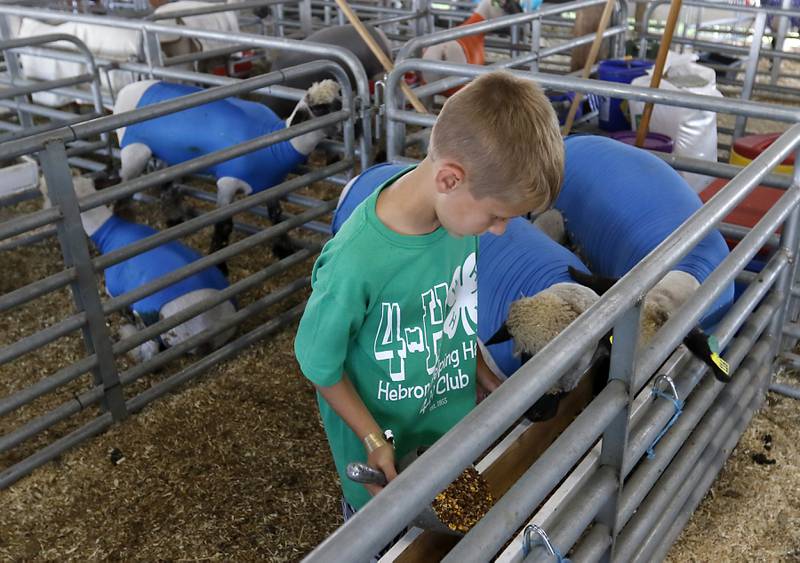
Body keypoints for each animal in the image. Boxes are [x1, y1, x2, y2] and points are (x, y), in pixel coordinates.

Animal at [111, 77, 342, 268]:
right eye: (320, 108)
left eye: (339, 96)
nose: (346, 121)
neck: (274, 143)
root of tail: (125, 91)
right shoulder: (227, 182)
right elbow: (224, 225)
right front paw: (219, 263)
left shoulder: (270, 185)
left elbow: (276, 217)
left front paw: (284, 249)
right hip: (134, 150)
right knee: (124, 184)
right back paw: (121, 216)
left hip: (166, 155)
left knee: (165, 186)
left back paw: (174, 218)